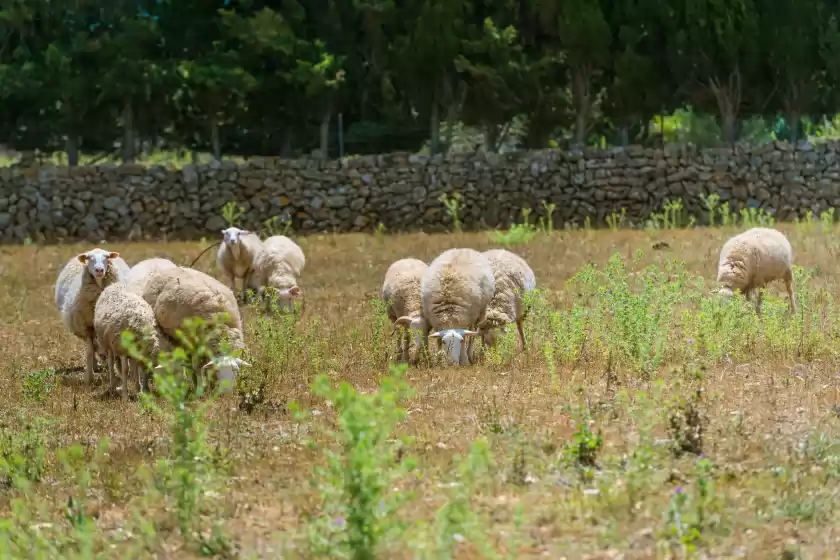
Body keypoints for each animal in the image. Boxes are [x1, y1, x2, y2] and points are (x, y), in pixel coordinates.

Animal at [54, 249, 130, 384]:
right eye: (89, 258)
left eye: (107, 257)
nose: (99, 270)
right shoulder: (86, 327)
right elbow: (90, 351)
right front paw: (89, 378)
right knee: (93, 346)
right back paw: (95, 366)